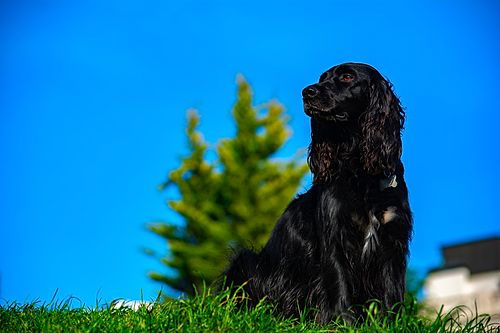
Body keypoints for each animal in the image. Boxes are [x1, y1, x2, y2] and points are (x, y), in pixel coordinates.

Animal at [225, 62, 412, 322]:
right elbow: (339, 283)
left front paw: (388, 323)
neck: (360, 173)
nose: (307, 92)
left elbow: (391, 292)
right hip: (245, 262)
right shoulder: (334, 236)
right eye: (322, 78)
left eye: (347, 77)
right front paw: (343, 322)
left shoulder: (393, 238)